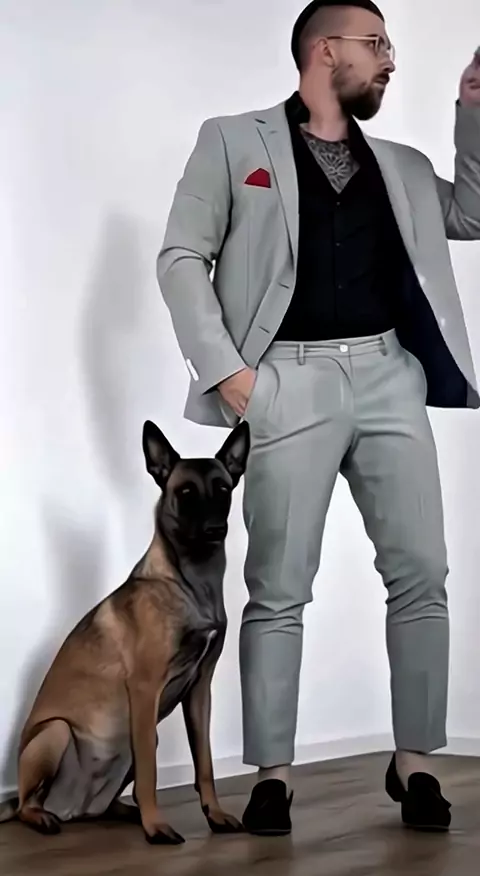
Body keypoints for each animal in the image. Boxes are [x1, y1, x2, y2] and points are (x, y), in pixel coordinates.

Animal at [0, 419, 250, 844]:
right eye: (185, 493)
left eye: (223, 488)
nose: (216, 529)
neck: (190, 582)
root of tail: (72, 809)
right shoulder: (145, 690)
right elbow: (150, 772)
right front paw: (156, 827)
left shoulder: (199, 690)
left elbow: (205, 764)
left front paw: (214, 815)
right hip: (56, 733)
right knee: (25, 806)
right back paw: (45, 818)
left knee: (104, 805)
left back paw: (124, 812)